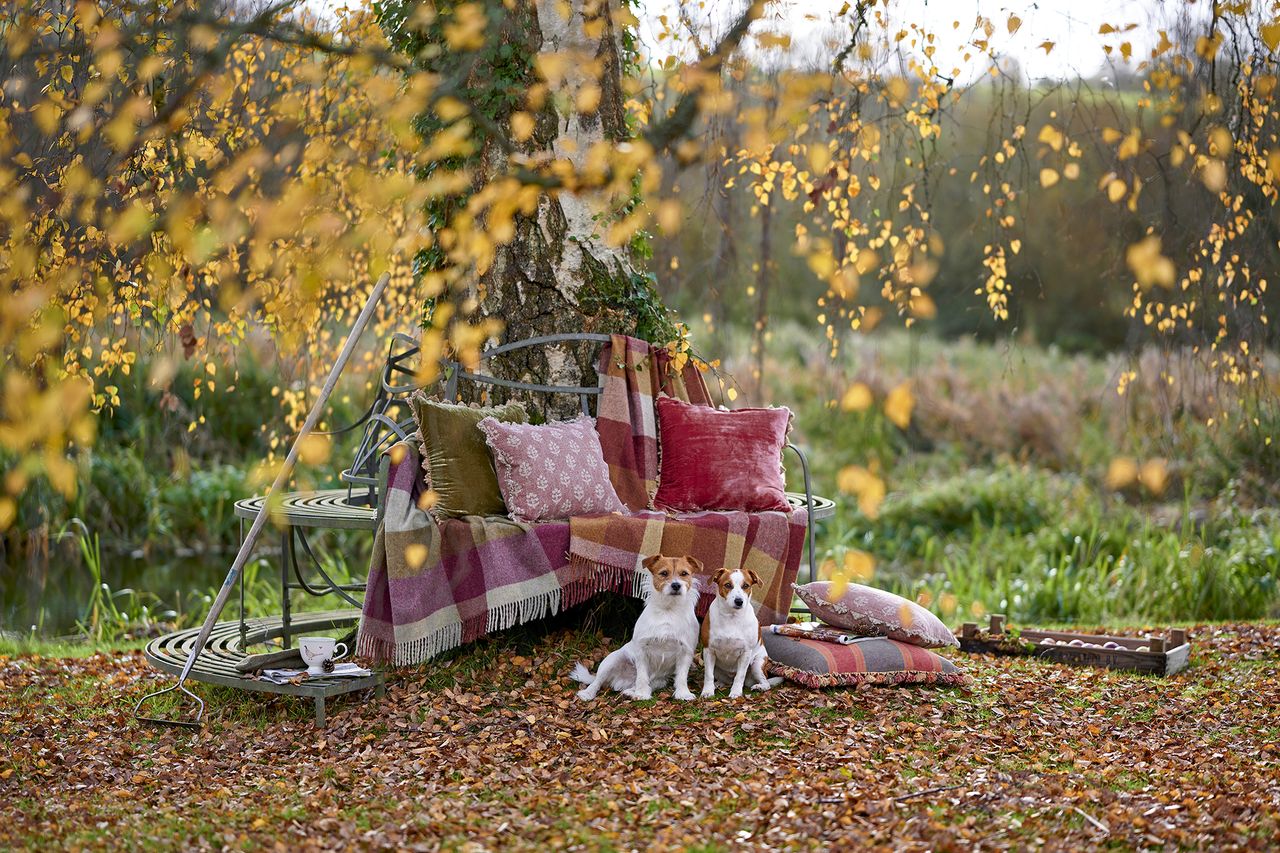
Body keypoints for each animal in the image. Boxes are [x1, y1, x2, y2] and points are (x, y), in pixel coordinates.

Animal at [576, 550, 706, 696]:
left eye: (684, 573)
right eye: (664, 573)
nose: (676, 585)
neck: (668, 610)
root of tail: (621, 680)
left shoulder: (686, 651)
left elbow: (682, 676)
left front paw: (683, 693)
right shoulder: (642, 650)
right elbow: (642, 675)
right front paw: (642, 694)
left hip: (659, 681)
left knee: (641, 684)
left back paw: (630, 691)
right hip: (611, 660)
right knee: (597, 681)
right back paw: (588, 693)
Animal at [701, 563, 768, 696]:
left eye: (746, 585)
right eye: (727, 585)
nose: (739, 601)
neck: (731, 617)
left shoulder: (745, 653)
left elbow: (740, 676)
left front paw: (736, 692)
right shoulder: (708, 650)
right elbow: (708, 675)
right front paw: (707, 691)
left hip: (757, 664)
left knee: (766, 682)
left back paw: (760, 687)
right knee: (722, 679)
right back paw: (718, 684)